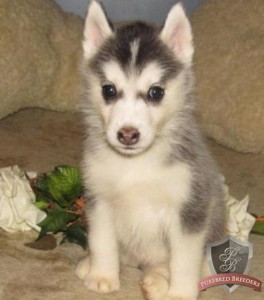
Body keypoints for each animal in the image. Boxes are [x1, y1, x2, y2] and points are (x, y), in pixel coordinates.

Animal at [76, 1, 225, 298]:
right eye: (109, 90)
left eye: (156, 92)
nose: (127, 134)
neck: (136, 164)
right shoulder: (99, 198)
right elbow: (101, 240)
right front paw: (102, 275)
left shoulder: (190, 208)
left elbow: (183, 260)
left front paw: (180, 293)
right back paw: (91, 264)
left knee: (194, 265)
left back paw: (157, 279)